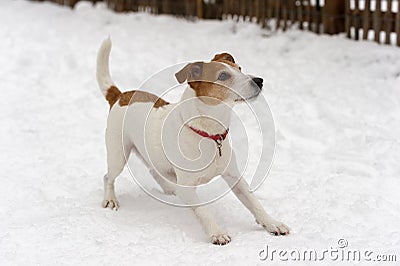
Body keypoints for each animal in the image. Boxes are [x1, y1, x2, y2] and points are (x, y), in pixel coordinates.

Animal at [95, 38, 290, 245]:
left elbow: (254, 203)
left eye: (240, 68)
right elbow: (203, 211)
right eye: (223, 76)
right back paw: (111, 199)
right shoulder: (188, 187)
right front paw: (217, 233)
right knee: (108, 177)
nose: (259, 80)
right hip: (118, 154)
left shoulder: (235, 178)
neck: (209, 134)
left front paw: (272, 223)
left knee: (154, 171)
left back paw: (170, 188)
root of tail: (120, 95)